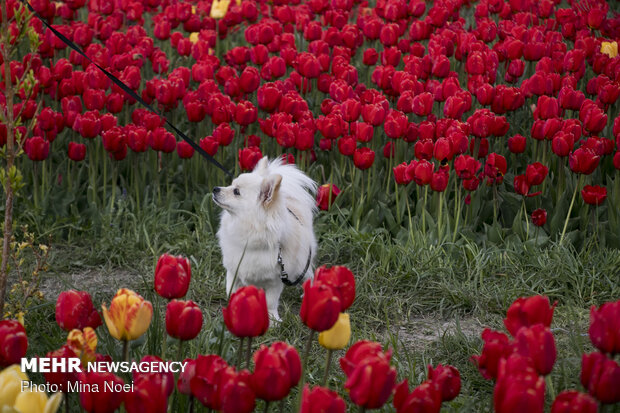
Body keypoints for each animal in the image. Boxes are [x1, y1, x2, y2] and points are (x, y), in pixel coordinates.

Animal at [214, 156, 320, 320]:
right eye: (230, 184)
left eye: (236, 191)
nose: (215, 189)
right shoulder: (233, 272)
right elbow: (232, 293)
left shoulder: (276, 280)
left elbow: (270, 302)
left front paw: (273, 320)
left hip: (302, 265)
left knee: (309, 276)